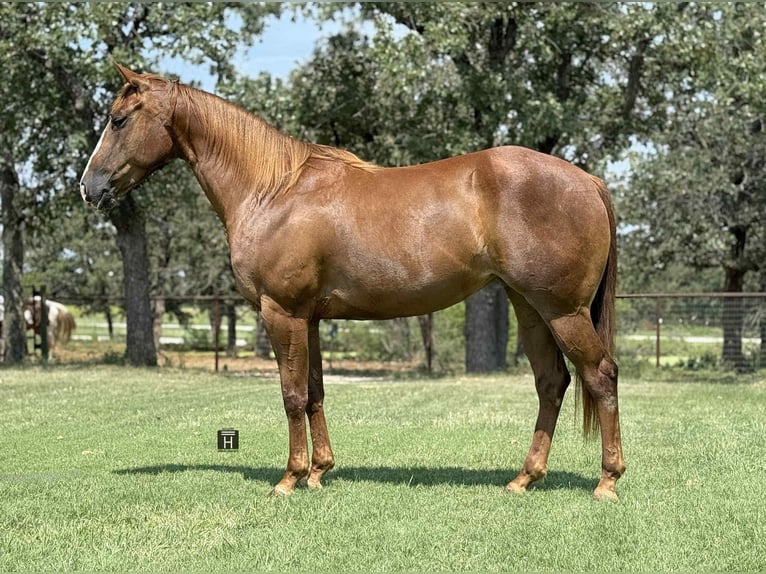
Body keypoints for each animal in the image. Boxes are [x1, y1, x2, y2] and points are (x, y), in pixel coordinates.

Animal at [80, 63, 625, 501]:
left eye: (118, 119)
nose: (88, 187)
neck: (272, 190)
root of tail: (588, 181)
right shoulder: (310, 319)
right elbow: (316, 391)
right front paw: (320, 472)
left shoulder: (282, 312)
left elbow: (291, 395)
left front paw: (289, 479)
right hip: (529, 307)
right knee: (552, 381)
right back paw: (524, 479)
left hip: (562, 310)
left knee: (600, 375)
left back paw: (607, 481)